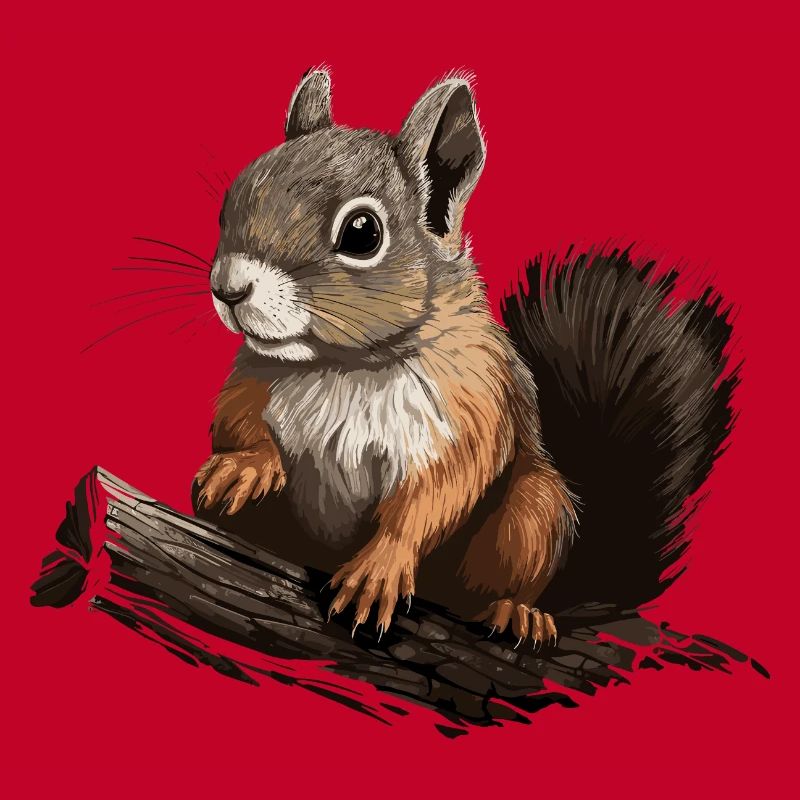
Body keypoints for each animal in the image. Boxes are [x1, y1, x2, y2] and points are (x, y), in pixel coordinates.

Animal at [192, 69, 737, 647]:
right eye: (232, 199)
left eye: (362, 233)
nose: (228, 289)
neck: (345, 365)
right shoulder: (254, 377)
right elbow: (235, 419)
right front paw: (246, 466)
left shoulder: (468, 405)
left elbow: (438, 492)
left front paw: (379, 568)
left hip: (536, 511)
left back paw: (517, 612)